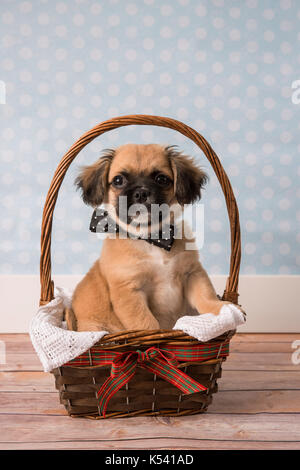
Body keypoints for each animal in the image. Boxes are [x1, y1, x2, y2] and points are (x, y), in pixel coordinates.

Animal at [66, 143, 237, 330]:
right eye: (118, 180)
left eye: (161, 179)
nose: (141, 193)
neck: (152, 238)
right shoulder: (129, 291)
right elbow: (147, 324)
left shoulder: (192, 273)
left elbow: (205, 296)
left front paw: (223, 309)